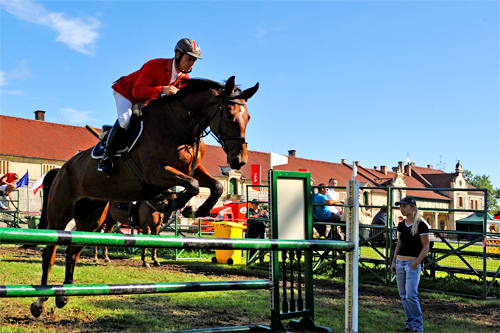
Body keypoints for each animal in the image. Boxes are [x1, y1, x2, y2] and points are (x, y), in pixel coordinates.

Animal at [32, 76, 258, 316]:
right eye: (229, 115)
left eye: (248, 118)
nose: (238, 161)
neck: (180, 126)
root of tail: (61, 169)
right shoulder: (156, 173)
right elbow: (193, 186)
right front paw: (175, 204)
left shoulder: (192, 169)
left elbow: (213, 186)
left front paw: (195, 209)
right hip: (61, 213)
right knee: (50, 253)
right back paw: (40, 302)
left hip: (92, 218)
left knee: (72, 252)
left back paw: (63, 295)